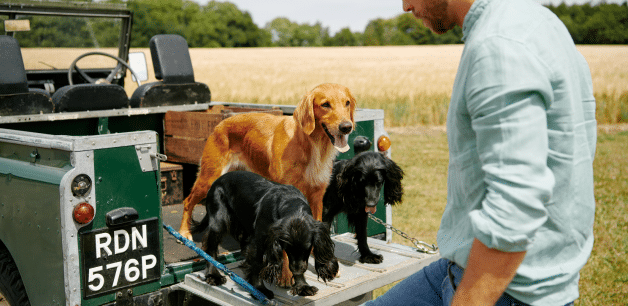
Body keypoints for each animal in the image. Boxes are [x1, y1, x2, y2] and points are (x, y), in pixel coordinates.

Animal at [179, 83, 356, 284]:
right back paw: (184, 232)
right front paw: (286, 276)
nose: (346, 127)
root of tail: (220, 123)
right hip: (208, 179)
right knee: (188, 201)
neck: (312, 145)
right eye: (325, 104)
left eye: (347, 103)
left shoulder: (317, 197)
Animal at [190, 171, 338, 298]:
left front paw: (302, 286)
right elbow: (257, 263)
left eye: (308, 249)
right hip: (218, 222)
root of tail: (217, 181)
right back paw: (213, 275)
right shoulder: (260, 241)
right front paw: (259, 289)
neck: (290, 202)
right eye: (288, 249)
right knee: (210, 249)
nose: (296, 270)